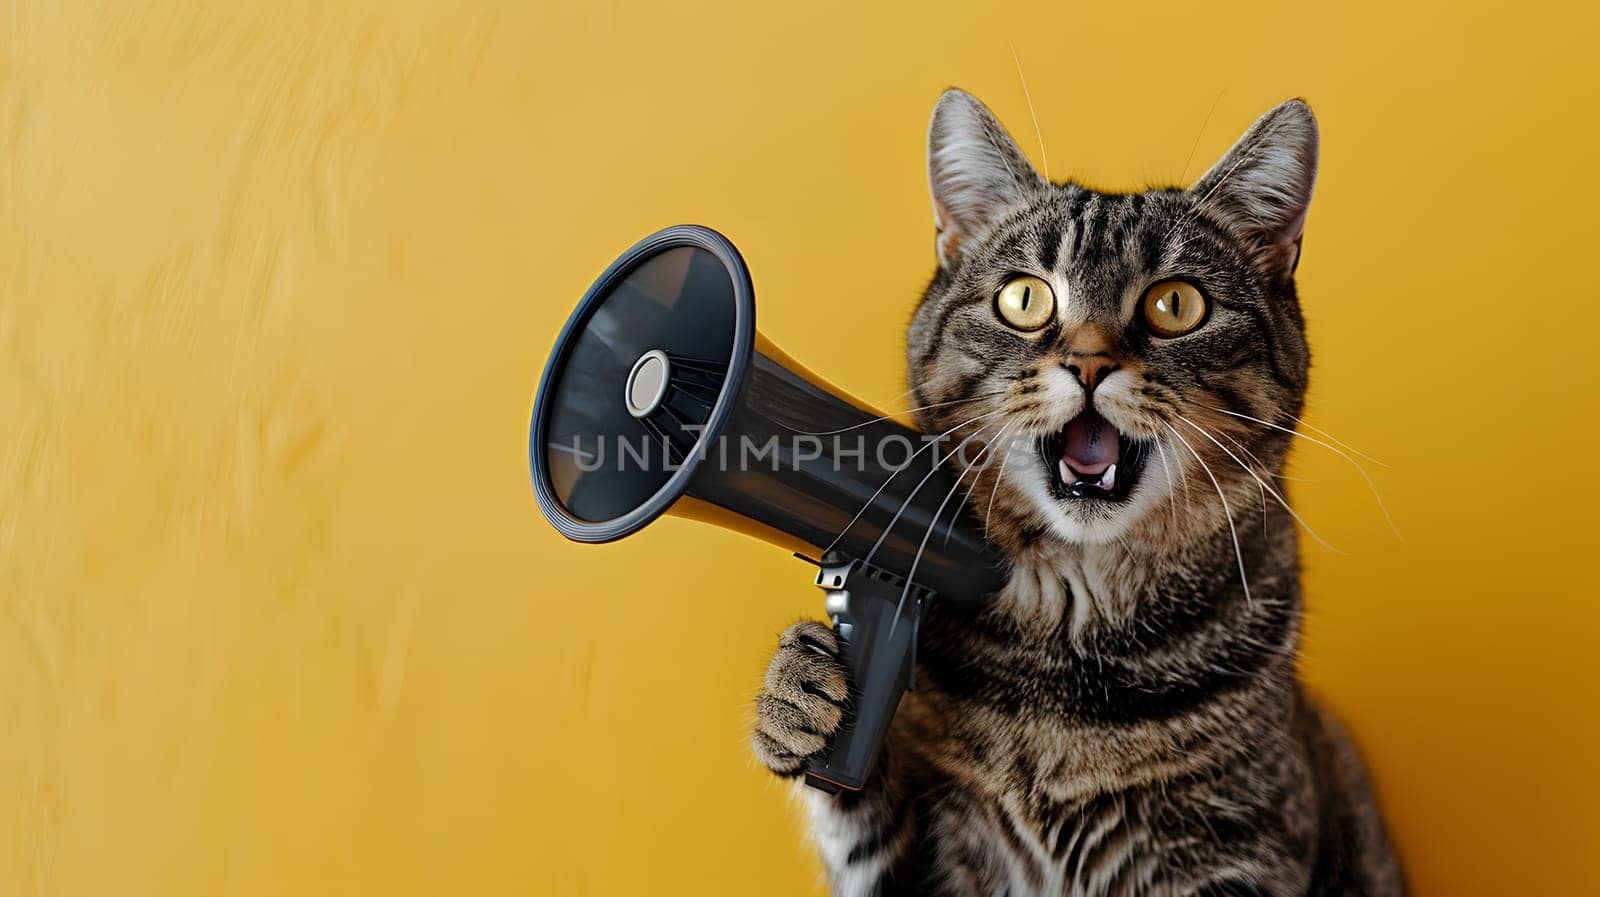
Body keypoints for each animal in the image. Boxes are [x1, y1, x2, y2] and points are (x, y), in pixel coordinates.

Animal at [748, 92, 1401, 895]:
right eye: (1024, 298)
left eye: (1176, 304)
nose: (1088, 362)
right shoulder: (928, 858)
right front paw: (797, 693)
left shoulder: (1240, 846)